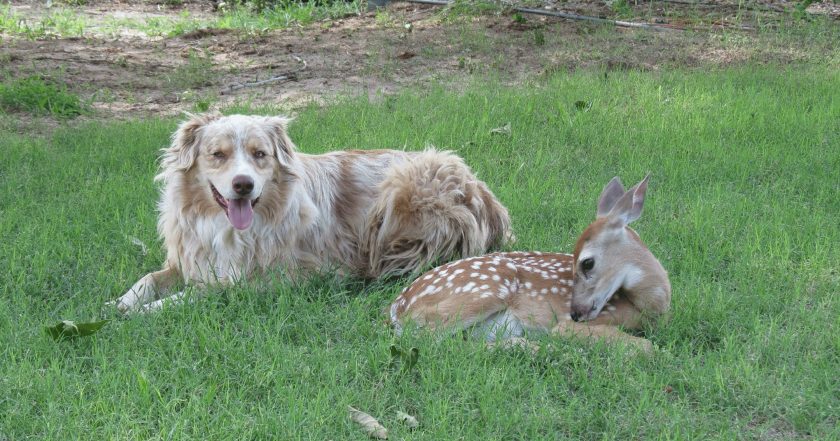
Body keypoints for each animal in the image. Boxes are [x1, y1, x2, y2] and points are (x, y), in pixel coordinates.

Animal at [113, 113, 512, 312]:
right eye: (218, 155)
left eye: (260, 154)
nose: (243, 185)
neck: (225, 227)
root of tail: (485, 192)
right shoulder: (189, 260)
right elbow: (147, 280)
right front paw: (117, 304)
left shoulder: (260, 280)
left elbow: (196, 294)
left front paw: (142, 312)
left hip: (403, 190)